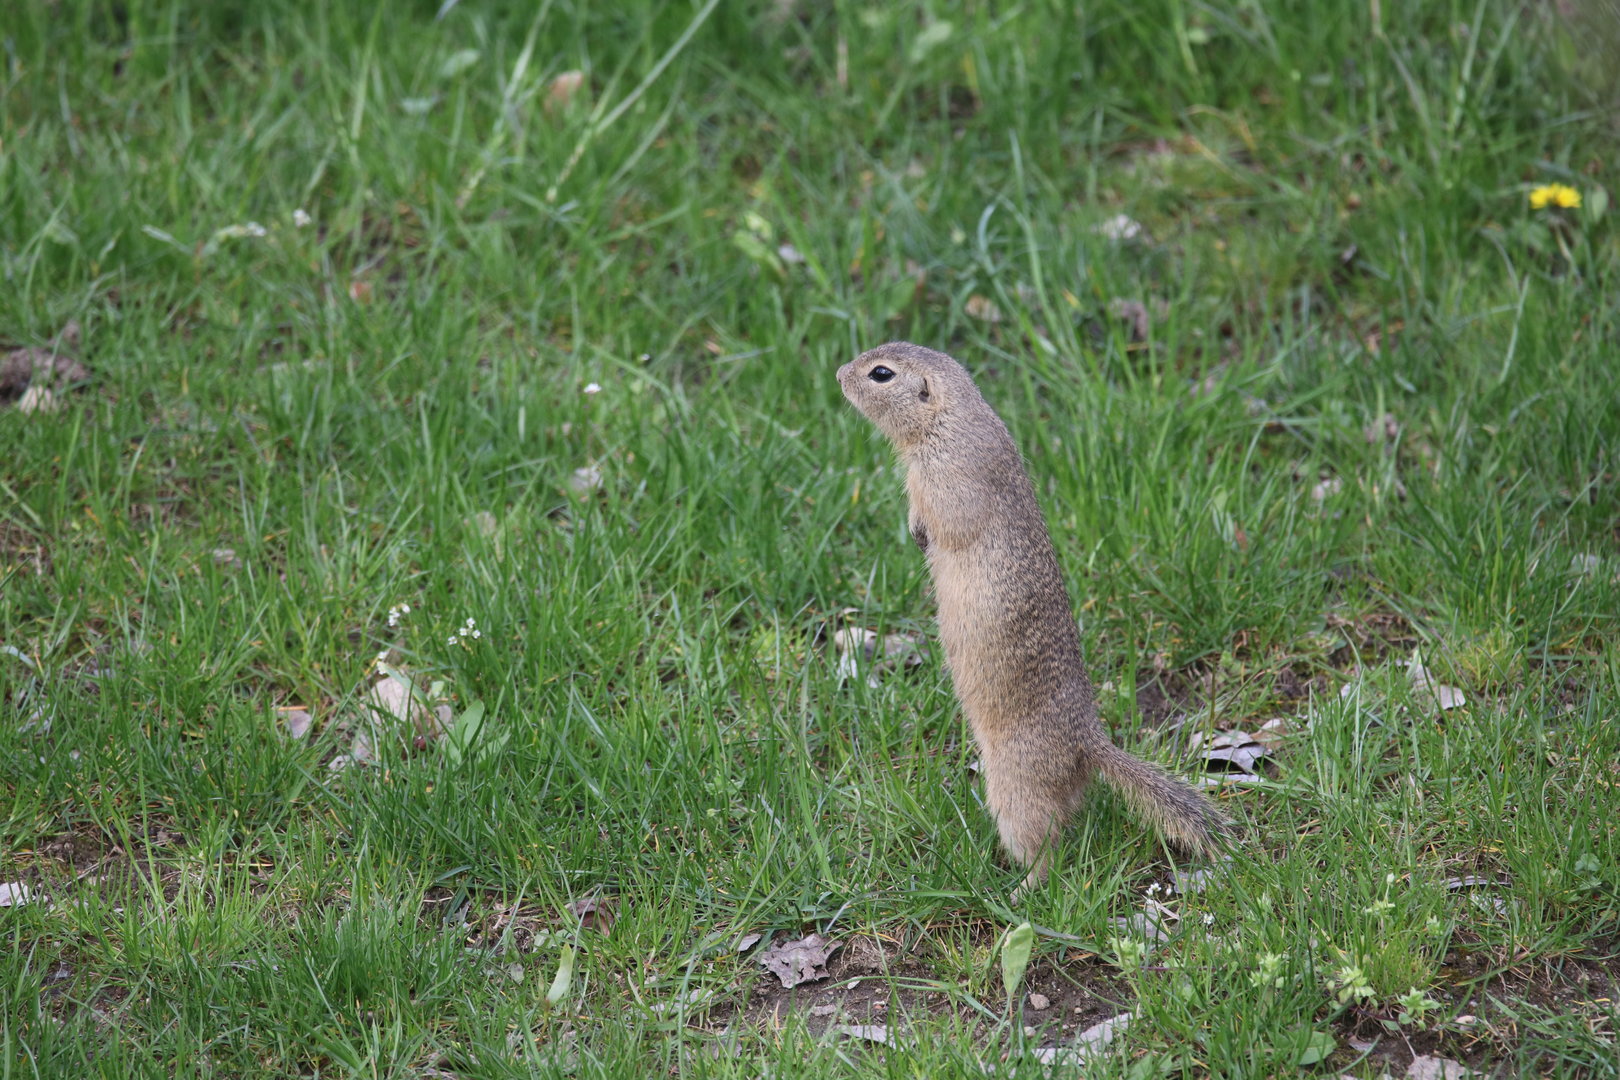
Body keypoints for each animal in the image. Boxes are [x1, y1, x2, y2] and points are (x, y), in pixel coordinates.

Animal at [837, 341, 1230, 898]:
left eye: (881, 374)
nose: (838, 375)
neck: (950, 420)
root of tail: (1088, 744)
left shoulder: (950, 477)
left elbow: (944, 517)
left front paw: (917, 531)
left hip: (1015, 787)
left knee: (1044, 849)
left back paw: (1016, 892)